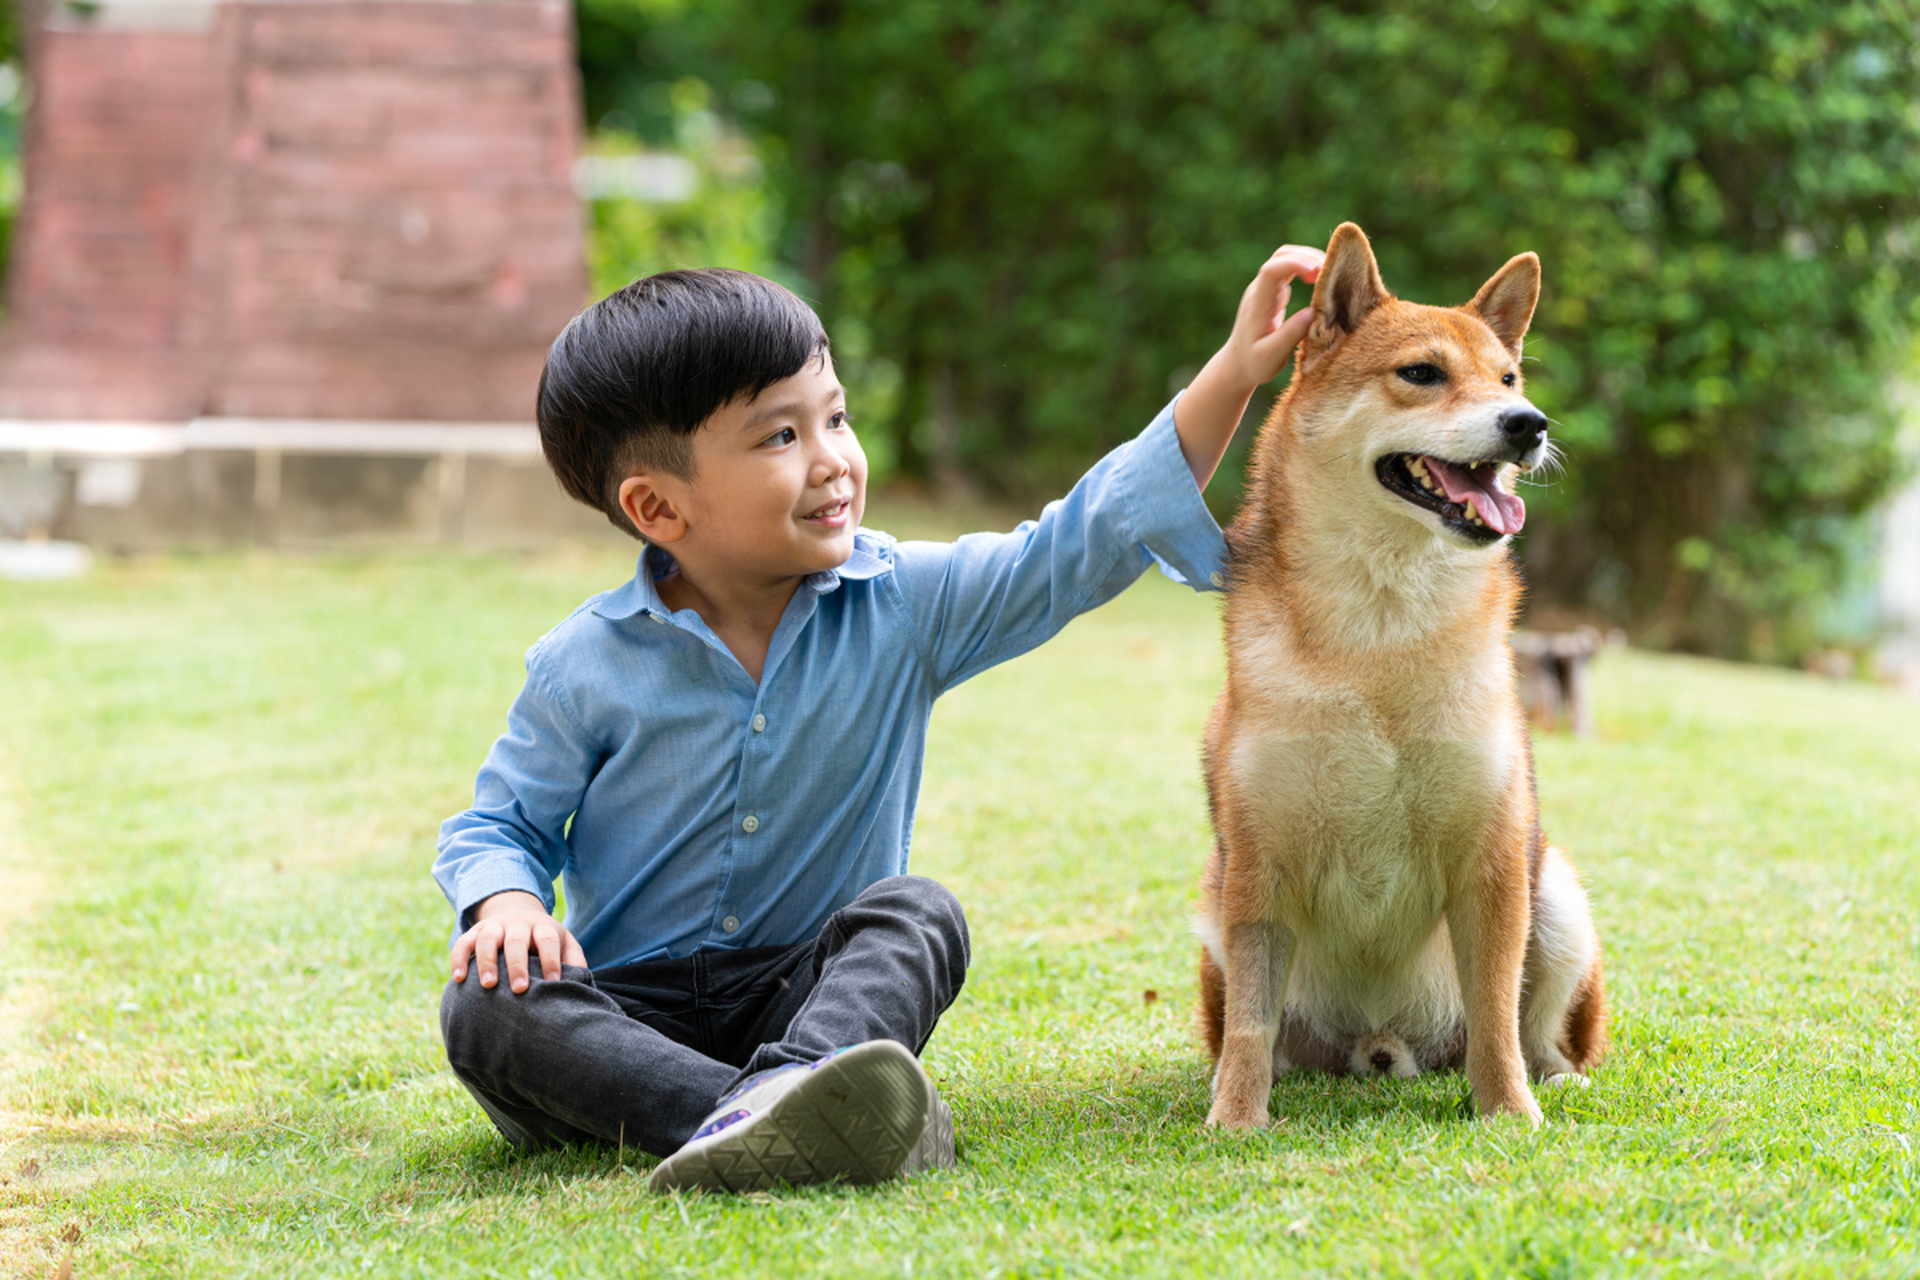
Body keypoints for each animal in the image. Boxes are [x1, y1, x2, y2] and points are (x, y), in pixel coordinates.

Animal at [1198, 222, 1605, 1128]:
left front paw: (1509, 1114)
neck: (1382, 642)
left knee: (1541, 1033)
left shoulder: (1493, 859)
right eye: (1422, 373)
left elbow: (1495, 1013)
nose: (1529, 424)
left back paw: (1556, 1079)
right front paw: (1235, 1122)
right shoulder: (1257, 866)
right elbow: (1248, 1029)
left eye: (1508, 378)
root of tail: (1383, 1047)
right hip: (1211, 910)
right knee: (1263, 1036)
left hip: (1556, 894)